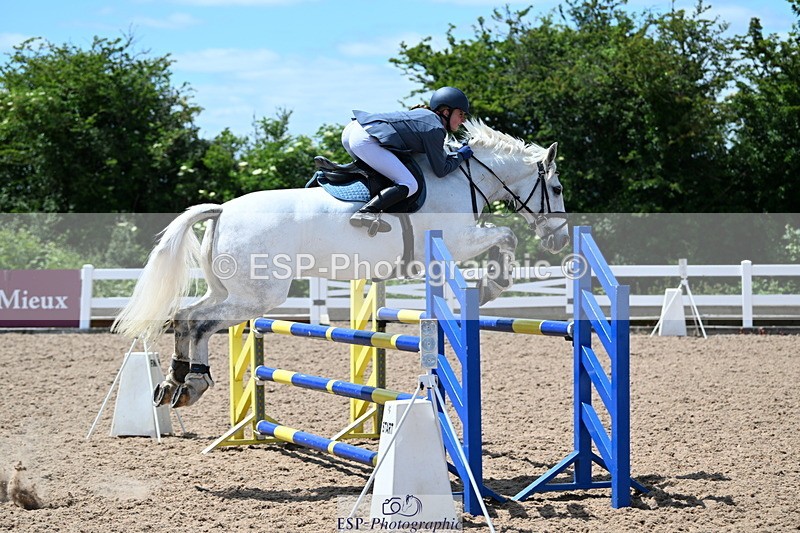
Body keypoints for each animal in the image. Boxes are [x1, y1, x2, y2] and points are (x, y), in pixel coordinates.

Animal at [112, 120, 569, 409]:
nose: (561, 238)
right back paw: (191, 380)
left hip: (228, 289)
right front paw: (493, 284)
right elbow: (506, 237)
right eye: (557, 188)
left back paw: (180, 382)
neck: (462, 177)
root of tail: (222, 209)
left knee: (185, 316)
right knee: (197, 322)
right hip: (257, 296)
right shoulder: (456, 243)